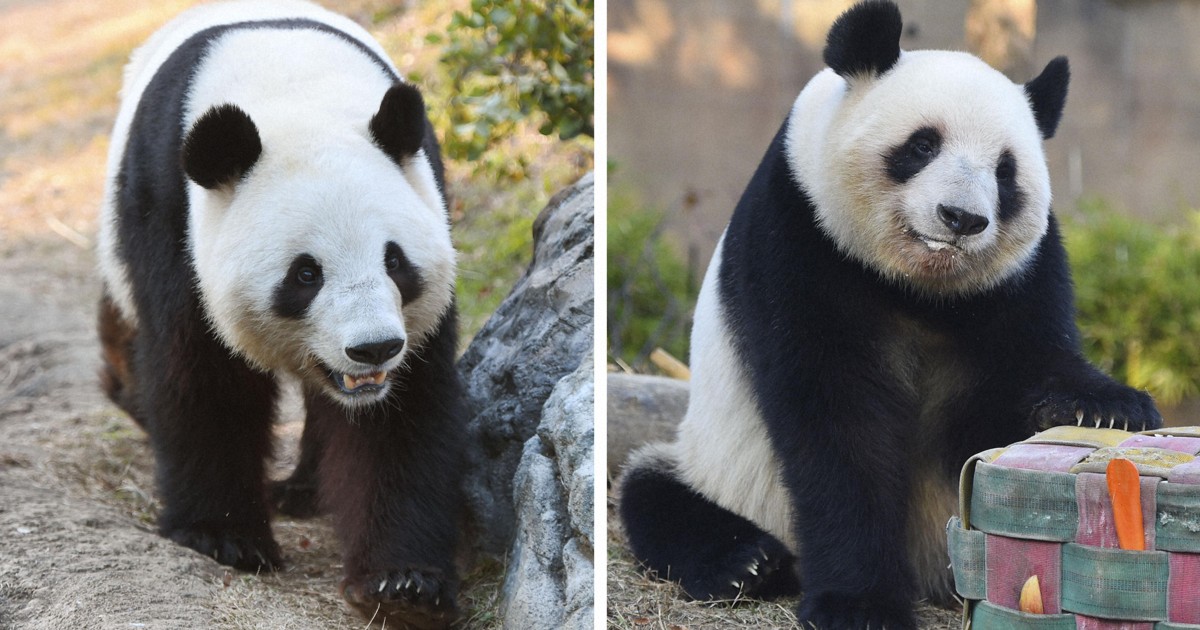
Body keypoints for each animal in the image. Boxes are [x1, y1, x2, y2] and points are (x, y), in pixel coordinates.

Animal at [96, 1, 462, 626]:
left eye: (394, 260)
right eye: (305, 274)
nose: (373, 348)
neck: (294, 90)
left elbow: (401, 415)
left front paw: (403, 582)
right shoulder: (169, 213)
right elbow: (203, 372)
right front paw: (223, 539)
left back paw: (303, 489)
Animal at [618, 2, 1162, 628]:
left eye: (1005, 172)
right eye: (922, 146)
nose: (961, 218)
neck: (918, 287)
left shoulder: (1021, 279)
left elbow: (1024, 372)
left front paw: (1102, 409)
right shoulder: (800, 237)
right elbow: (837, 422)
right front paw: (861, 605)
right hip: (716, 464)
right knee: (652, 493)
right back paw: (746, 563)